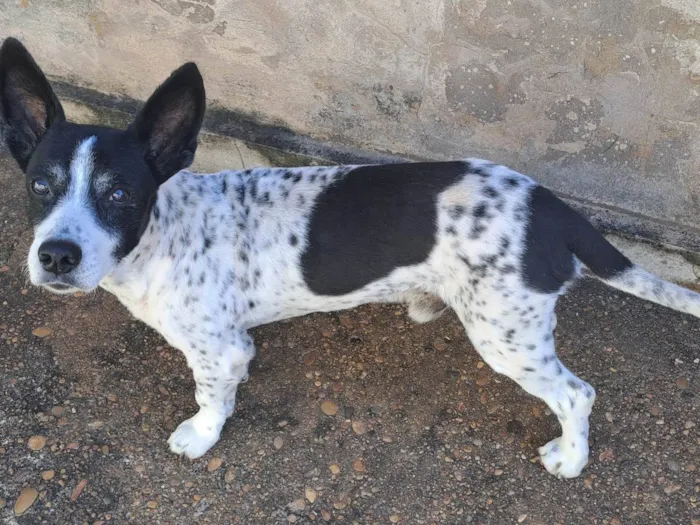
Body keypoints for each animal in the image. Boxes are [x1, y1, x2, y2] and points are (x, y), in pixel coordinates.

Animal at [0, 37, 696, 478]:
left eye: (120, 194)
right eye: (40, 185)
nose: (56, 256)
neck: (162, 234)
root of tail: (550, 205)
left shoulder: (215, 346)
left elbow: (208, 397)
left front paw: (201, 434)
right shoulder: (233, 342)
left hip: (506, 334)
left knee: (577, 395)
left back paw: (571, 461)